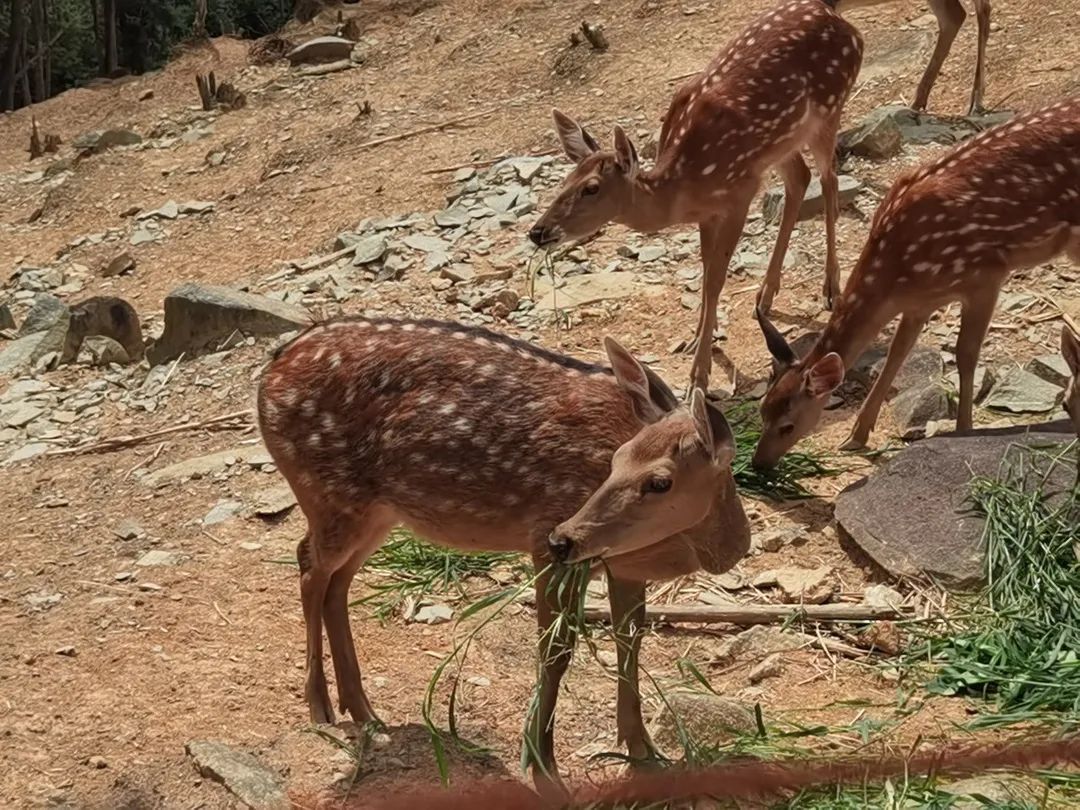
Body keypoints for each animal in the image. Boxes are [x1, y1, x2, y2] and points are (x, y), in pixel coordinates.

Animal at [258, 317, 751, 794]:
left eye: (660, 481)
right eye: (616, 459)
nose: (563, 537)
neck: (675, 548)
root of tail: (271, 369)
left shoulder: (625, 566)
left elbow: (630, 644)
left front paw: (645, 755)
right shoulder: (547, 542)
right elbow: (555, 653)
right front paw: (544, 770)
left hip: (375, 511)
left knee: (335, 582)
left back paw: (362, 710)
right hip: (329, 494)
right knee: (309, 566)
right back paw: (320, 706)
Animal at [527, 0, 864, 393]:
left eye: (591, 187)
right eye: (565, 180)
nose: (537, 231)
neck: (683, 188)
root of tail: (831, 10)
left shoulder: (739, 191)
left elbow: (717, 277)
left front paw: (698, 375)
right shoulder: (709, 211)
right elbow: (704, 271)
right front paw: (698, 336)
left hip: (829, 108)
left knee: (828, 178)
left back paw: (831, 288)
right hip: (782, 142)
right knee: (800, 178)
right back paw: (766, 295)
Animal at [751, 99, 1080, 473]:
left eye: (788, 425)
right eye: (762, 411)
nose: (757, 463)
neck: (899, 268)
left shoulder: (985, 275)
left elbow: (966, 354)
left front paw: (964, 430)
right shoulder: (919, 301)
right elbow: (897, 353)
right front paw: (855, 436)